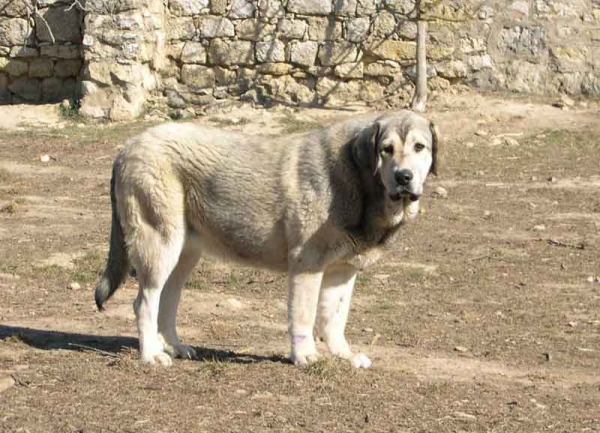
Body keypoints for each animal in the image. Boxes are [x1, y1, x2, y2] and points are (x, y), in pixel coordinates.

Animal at [95, 110, 440, 368]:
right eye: (386, 149)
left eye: (419, 147)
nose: (404, 177)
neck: (358, 175)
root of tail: (128, 147)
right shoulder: (307, 264)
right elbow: (303, 316)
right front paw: (305, 356)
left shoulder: (342, 271)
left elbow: (334, 319)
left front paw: (344, 356)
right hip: (161, 246)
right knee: (144, 302)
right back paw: (151, 355)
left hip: (184, 254)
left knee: (167, 300)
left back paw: (173, 347)